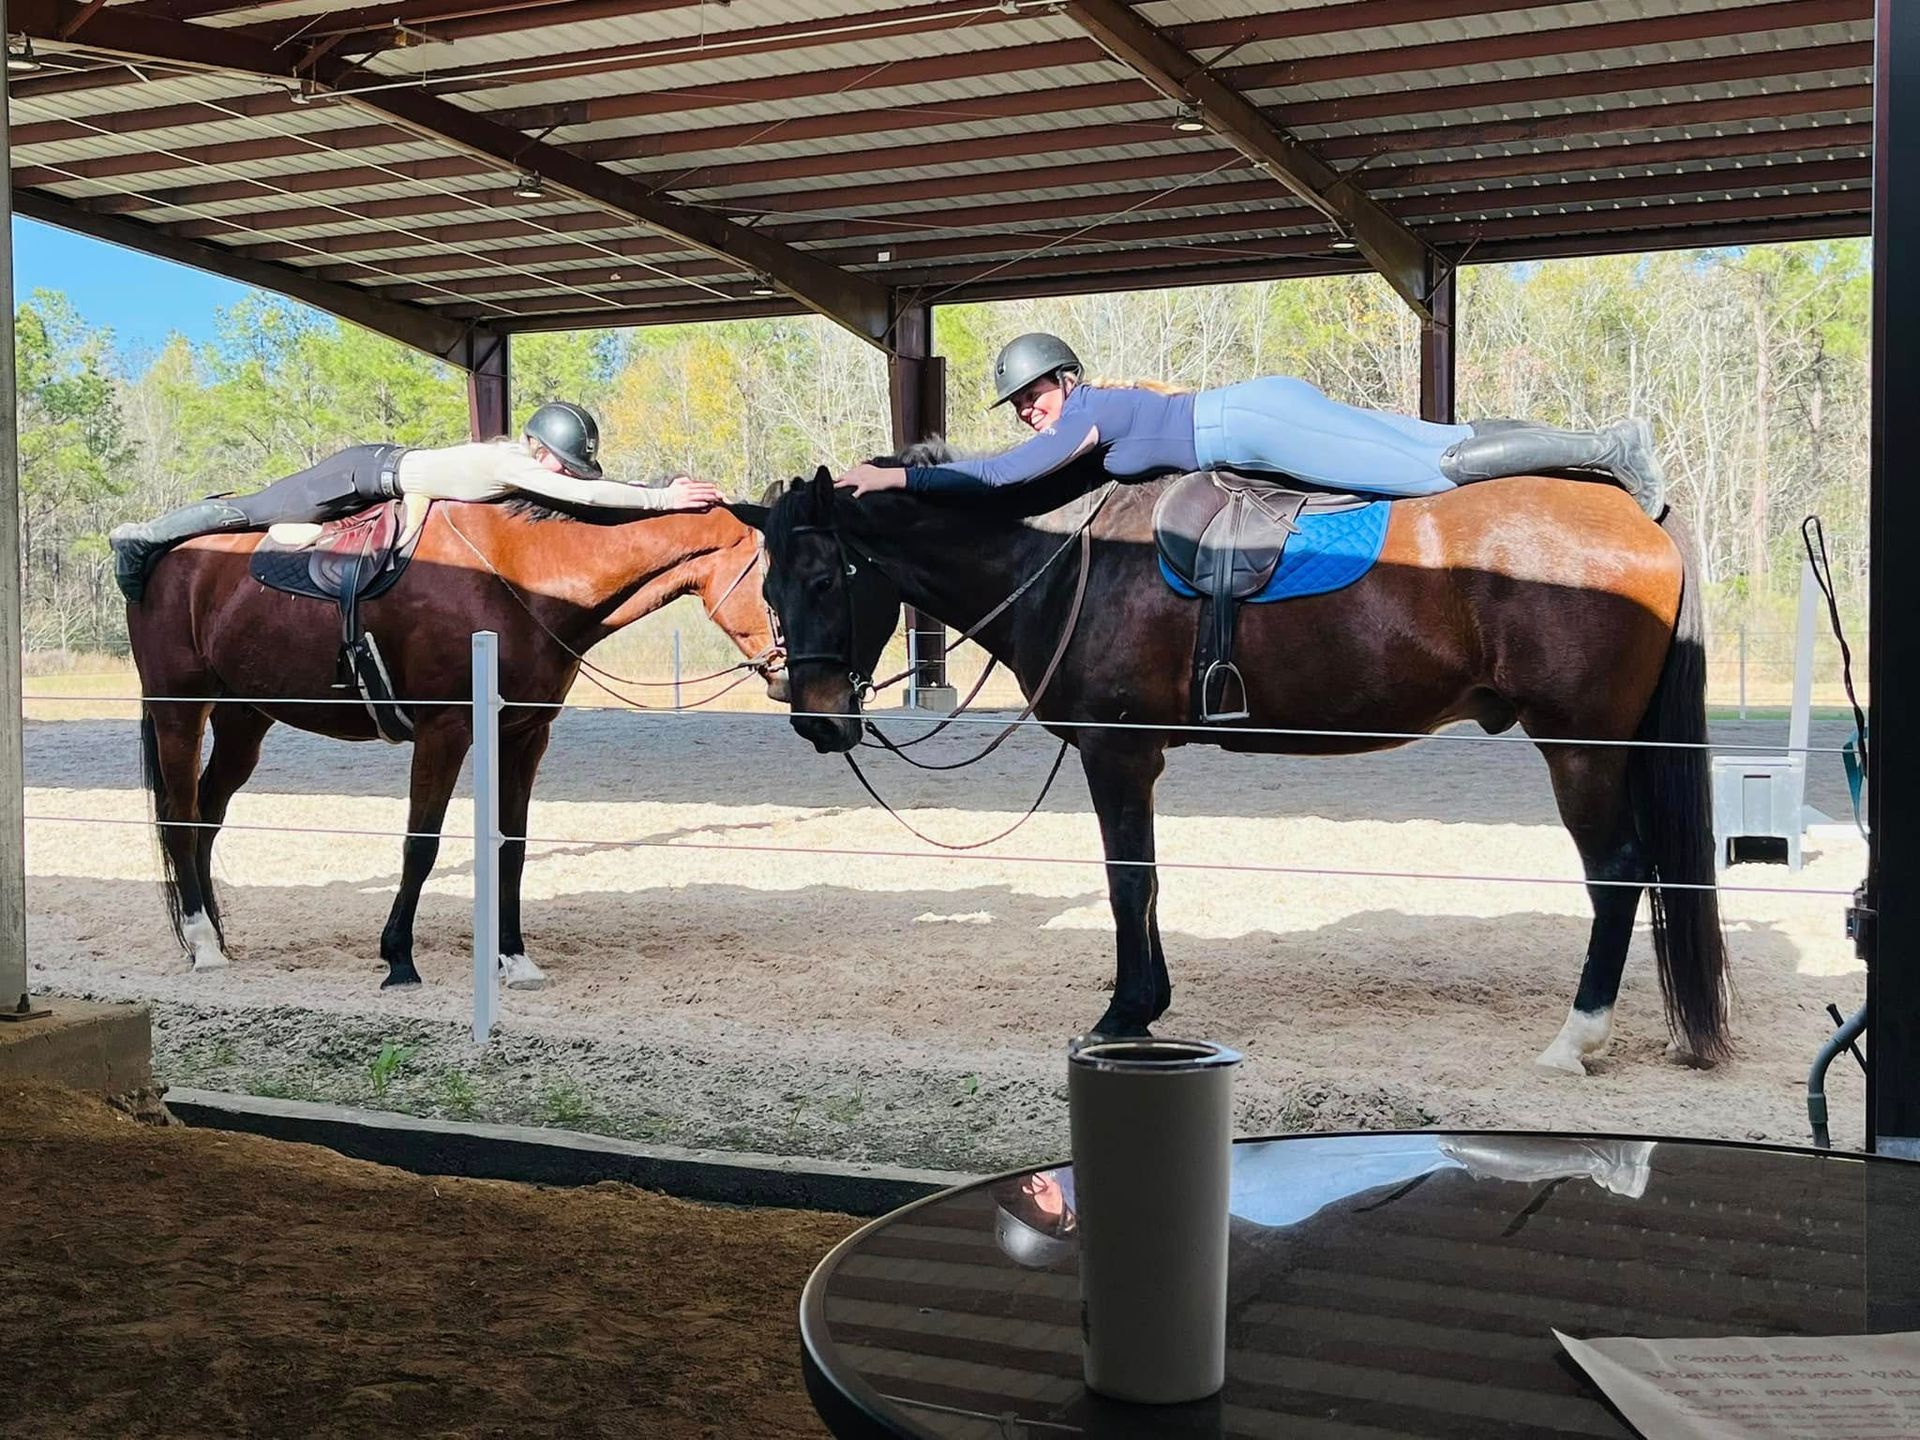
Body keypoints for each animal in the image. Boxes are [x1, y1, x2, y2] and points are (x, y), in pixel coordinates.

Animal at [126, 496, 782, 990]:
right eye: (782, 580)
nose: (789, 674)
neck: (519, 579)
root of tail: (167, 562)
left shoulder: (524, 736)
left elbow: (512, 847)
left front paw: (513, 957)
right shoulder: (444, 732)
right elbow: (421, 845)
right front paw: (398, 957)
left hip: (244, 722)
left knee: (206, 819)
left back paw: (212, 935)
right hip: (180, 713)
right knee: (180, 820)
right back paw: (203, 944)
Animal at [737, 458, 1729, 1076]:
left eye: (823, 579)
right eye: (768, 586)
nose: (817, 720)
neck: (1067, 557)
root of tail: (1639, 515)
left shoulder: (1118, 754)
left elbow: (1128, 880)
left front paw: (1125, 1012)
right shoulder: (1135, 760)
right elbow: (1146, 881)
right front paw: (1147, 1003)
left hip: (1581, 749)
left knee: (1618, 875)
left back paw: (1577, 1038)